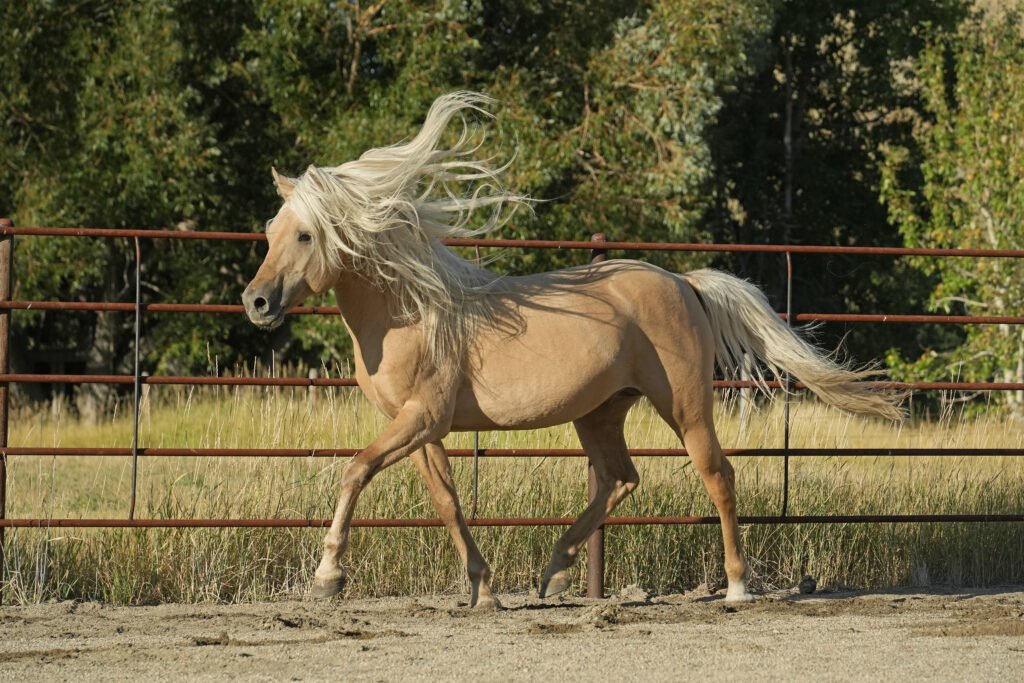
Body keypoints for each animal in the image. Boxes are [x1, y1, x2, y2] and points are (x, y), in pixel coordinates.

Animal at [242, 92, 903, 609]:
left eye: (306, 235)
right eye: (271, 231)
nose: (256, 302)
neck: (410, 309)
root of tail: (683, 282)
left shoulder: (422, 418)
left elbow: (354, 469)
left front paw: (328, 577)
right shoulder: (419, 427)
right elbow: (447, 502)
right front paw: (483, 589)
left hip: (685, 405)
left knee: (717, 475)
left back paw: (737, 586)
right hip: (601, 412)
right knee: (620, 478)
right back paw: (554, 570)